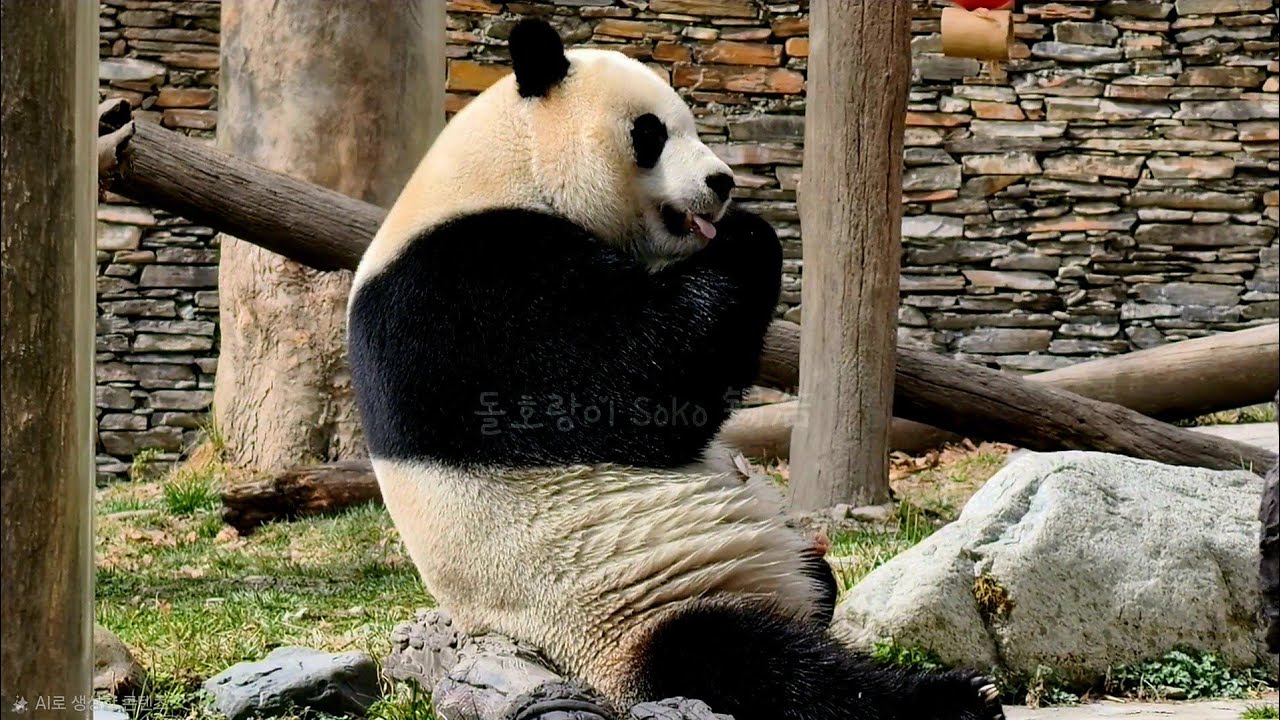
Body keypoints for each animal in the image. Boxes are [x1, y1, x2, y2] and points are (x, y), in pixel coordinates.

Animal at [348, 18, 1005, 720]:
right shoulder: (465, 290)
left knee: (810, 589)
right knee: (748, 662)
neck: (503, 169)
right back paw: (950, 696)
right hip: (623, 606)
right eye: (651, 133)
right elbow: (626, 385)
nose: (723, 183)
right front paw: (747, 234)